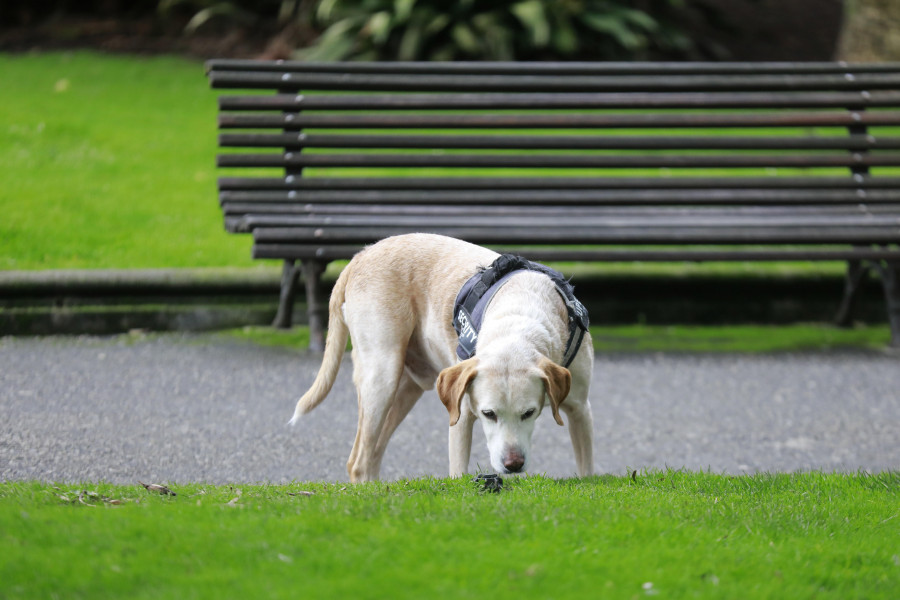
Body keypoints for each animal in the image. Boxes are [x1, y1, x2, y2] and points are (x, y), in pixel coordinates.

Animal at [292, 232, 596, 480]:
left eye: (529, 413)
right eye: (488, 414)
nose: (513, 464)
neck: (519, 315)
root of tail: (361, 256)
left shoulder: (581, 410)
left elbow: (586, 472)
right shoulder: (461, 415)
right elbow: (458, 472)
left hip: (407, 389)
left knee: (372, 453)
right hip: (382, 377)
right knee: (359, 461)